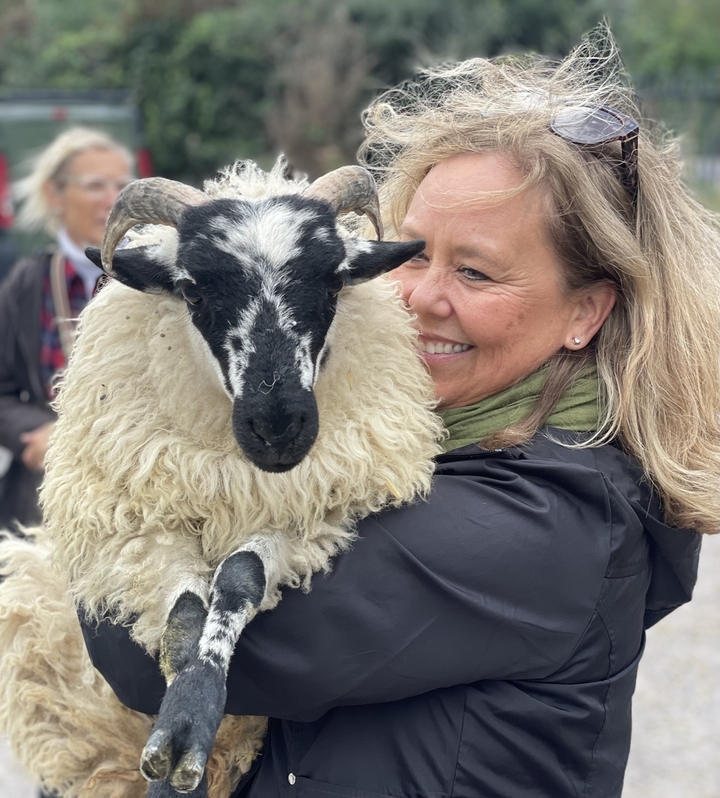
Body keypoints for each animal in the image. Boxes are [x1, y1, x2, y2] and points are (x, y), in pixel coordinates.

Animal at [0, 158, 444, 798]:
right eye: (191, 288)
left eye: (336, 282)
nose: (279, 425)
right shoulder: (135, 527)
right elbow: (184, 616)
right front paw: (176, 739)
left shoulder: (315, 514)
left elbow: (238, 580)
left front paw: (192, 719)